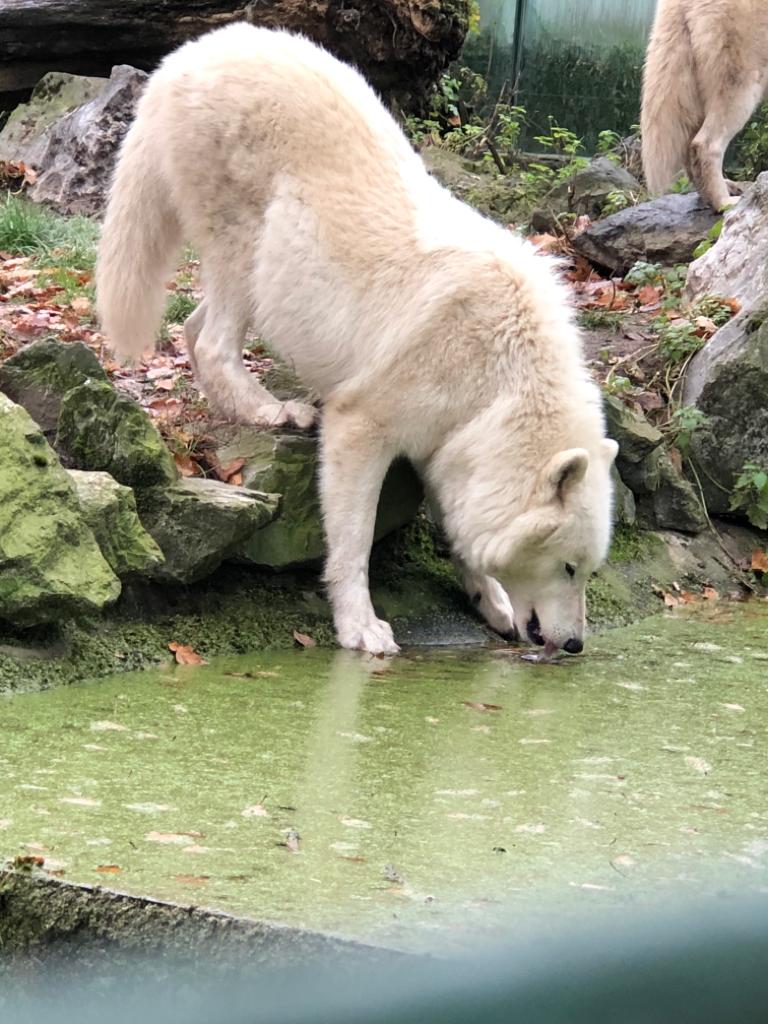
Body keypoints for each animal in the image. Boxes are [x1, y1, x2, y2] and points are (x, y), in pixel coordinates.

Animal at [96, 23, 618, 656]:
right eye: (568, 567)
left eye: (590, 570)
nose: (575, 646)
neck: (501, 377)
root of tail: (189, 52)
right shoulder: (367, 418)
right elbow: (354, 534)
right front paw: (362, 627)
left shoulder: (450, 439)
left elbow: (458, 516)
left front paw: (490, 600)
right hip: (250, 245)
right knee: (216, 338)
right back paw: (272, 411)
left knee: (194, 329)